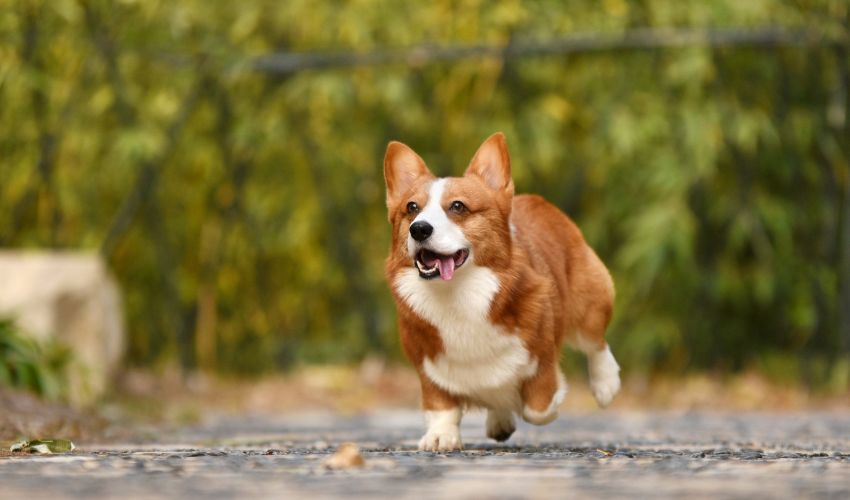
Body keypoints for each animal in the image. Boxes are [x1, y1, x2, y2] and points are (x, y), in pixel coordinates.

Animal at [382, 131, 616, 452]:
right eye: (412, 208)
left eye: (458, 206)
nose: (418, 229)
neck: (458, 295)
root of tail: (533, 199)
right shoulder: (426, 364)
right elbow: (441, 405)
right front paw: (442, 435)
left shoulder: (542, 355)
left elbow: (538, 406)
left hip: (589, 303)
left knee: (596, 343)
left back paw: (606, 384)